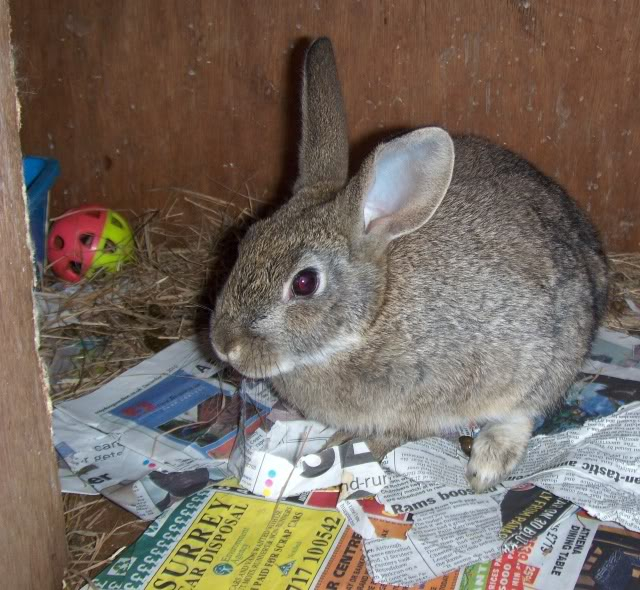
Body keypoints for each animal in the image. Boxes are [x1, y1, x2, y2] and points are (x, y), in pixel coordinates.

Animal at [211, 34, 608, 492]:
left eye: (305, 283)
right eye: (247, 240)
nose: (224, 346)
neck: (370, 319)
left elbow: (399, 432)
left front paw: (341, 453)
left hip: (548, 358)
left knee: (522, 413)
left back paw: (485, 465)